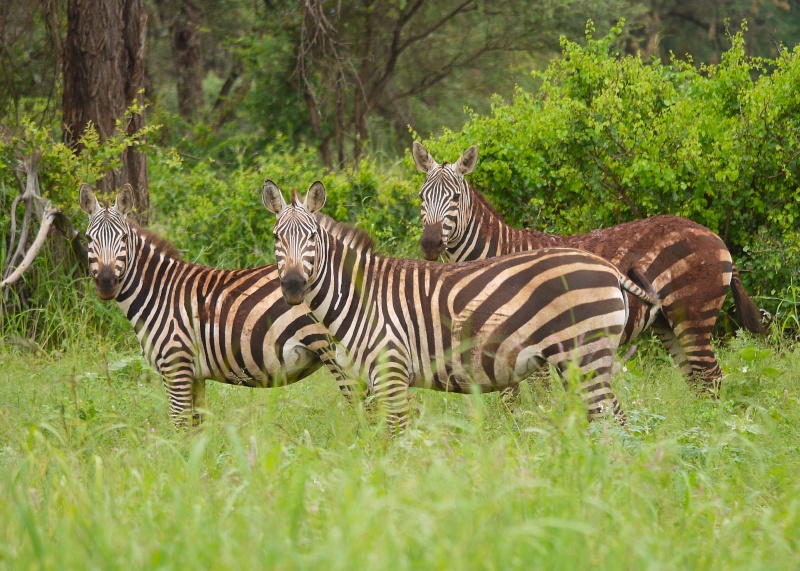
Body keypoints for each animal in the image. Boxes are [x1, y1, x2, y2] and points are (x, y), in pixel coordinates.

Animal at [79, 183, 358, 424]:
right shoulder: (194, 374)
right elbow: (197, 428)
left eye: (123, 238)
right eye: (88, 239)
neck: (159, 292)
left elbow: (179, 425)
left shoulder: (176, 364)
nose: (106, 283)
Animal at [262, 179, 664, 434]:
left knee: (614, 421)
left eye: (311, 238)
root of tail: (609, 268)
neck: (360, 298)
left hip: (586, 355)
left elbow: (396, 439)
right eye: (276, 237)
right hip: (580, 361)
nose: (293, 286)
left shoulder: (391, 370)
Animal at [410, 143, 764, 394]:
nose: (429, 243)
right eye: (421, 197)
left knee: (711, 377)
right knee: (698, 381)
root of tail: (712, 234)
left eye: (456, 197)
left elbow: (533, 401)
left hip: (693, 314)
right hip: (667, 322)